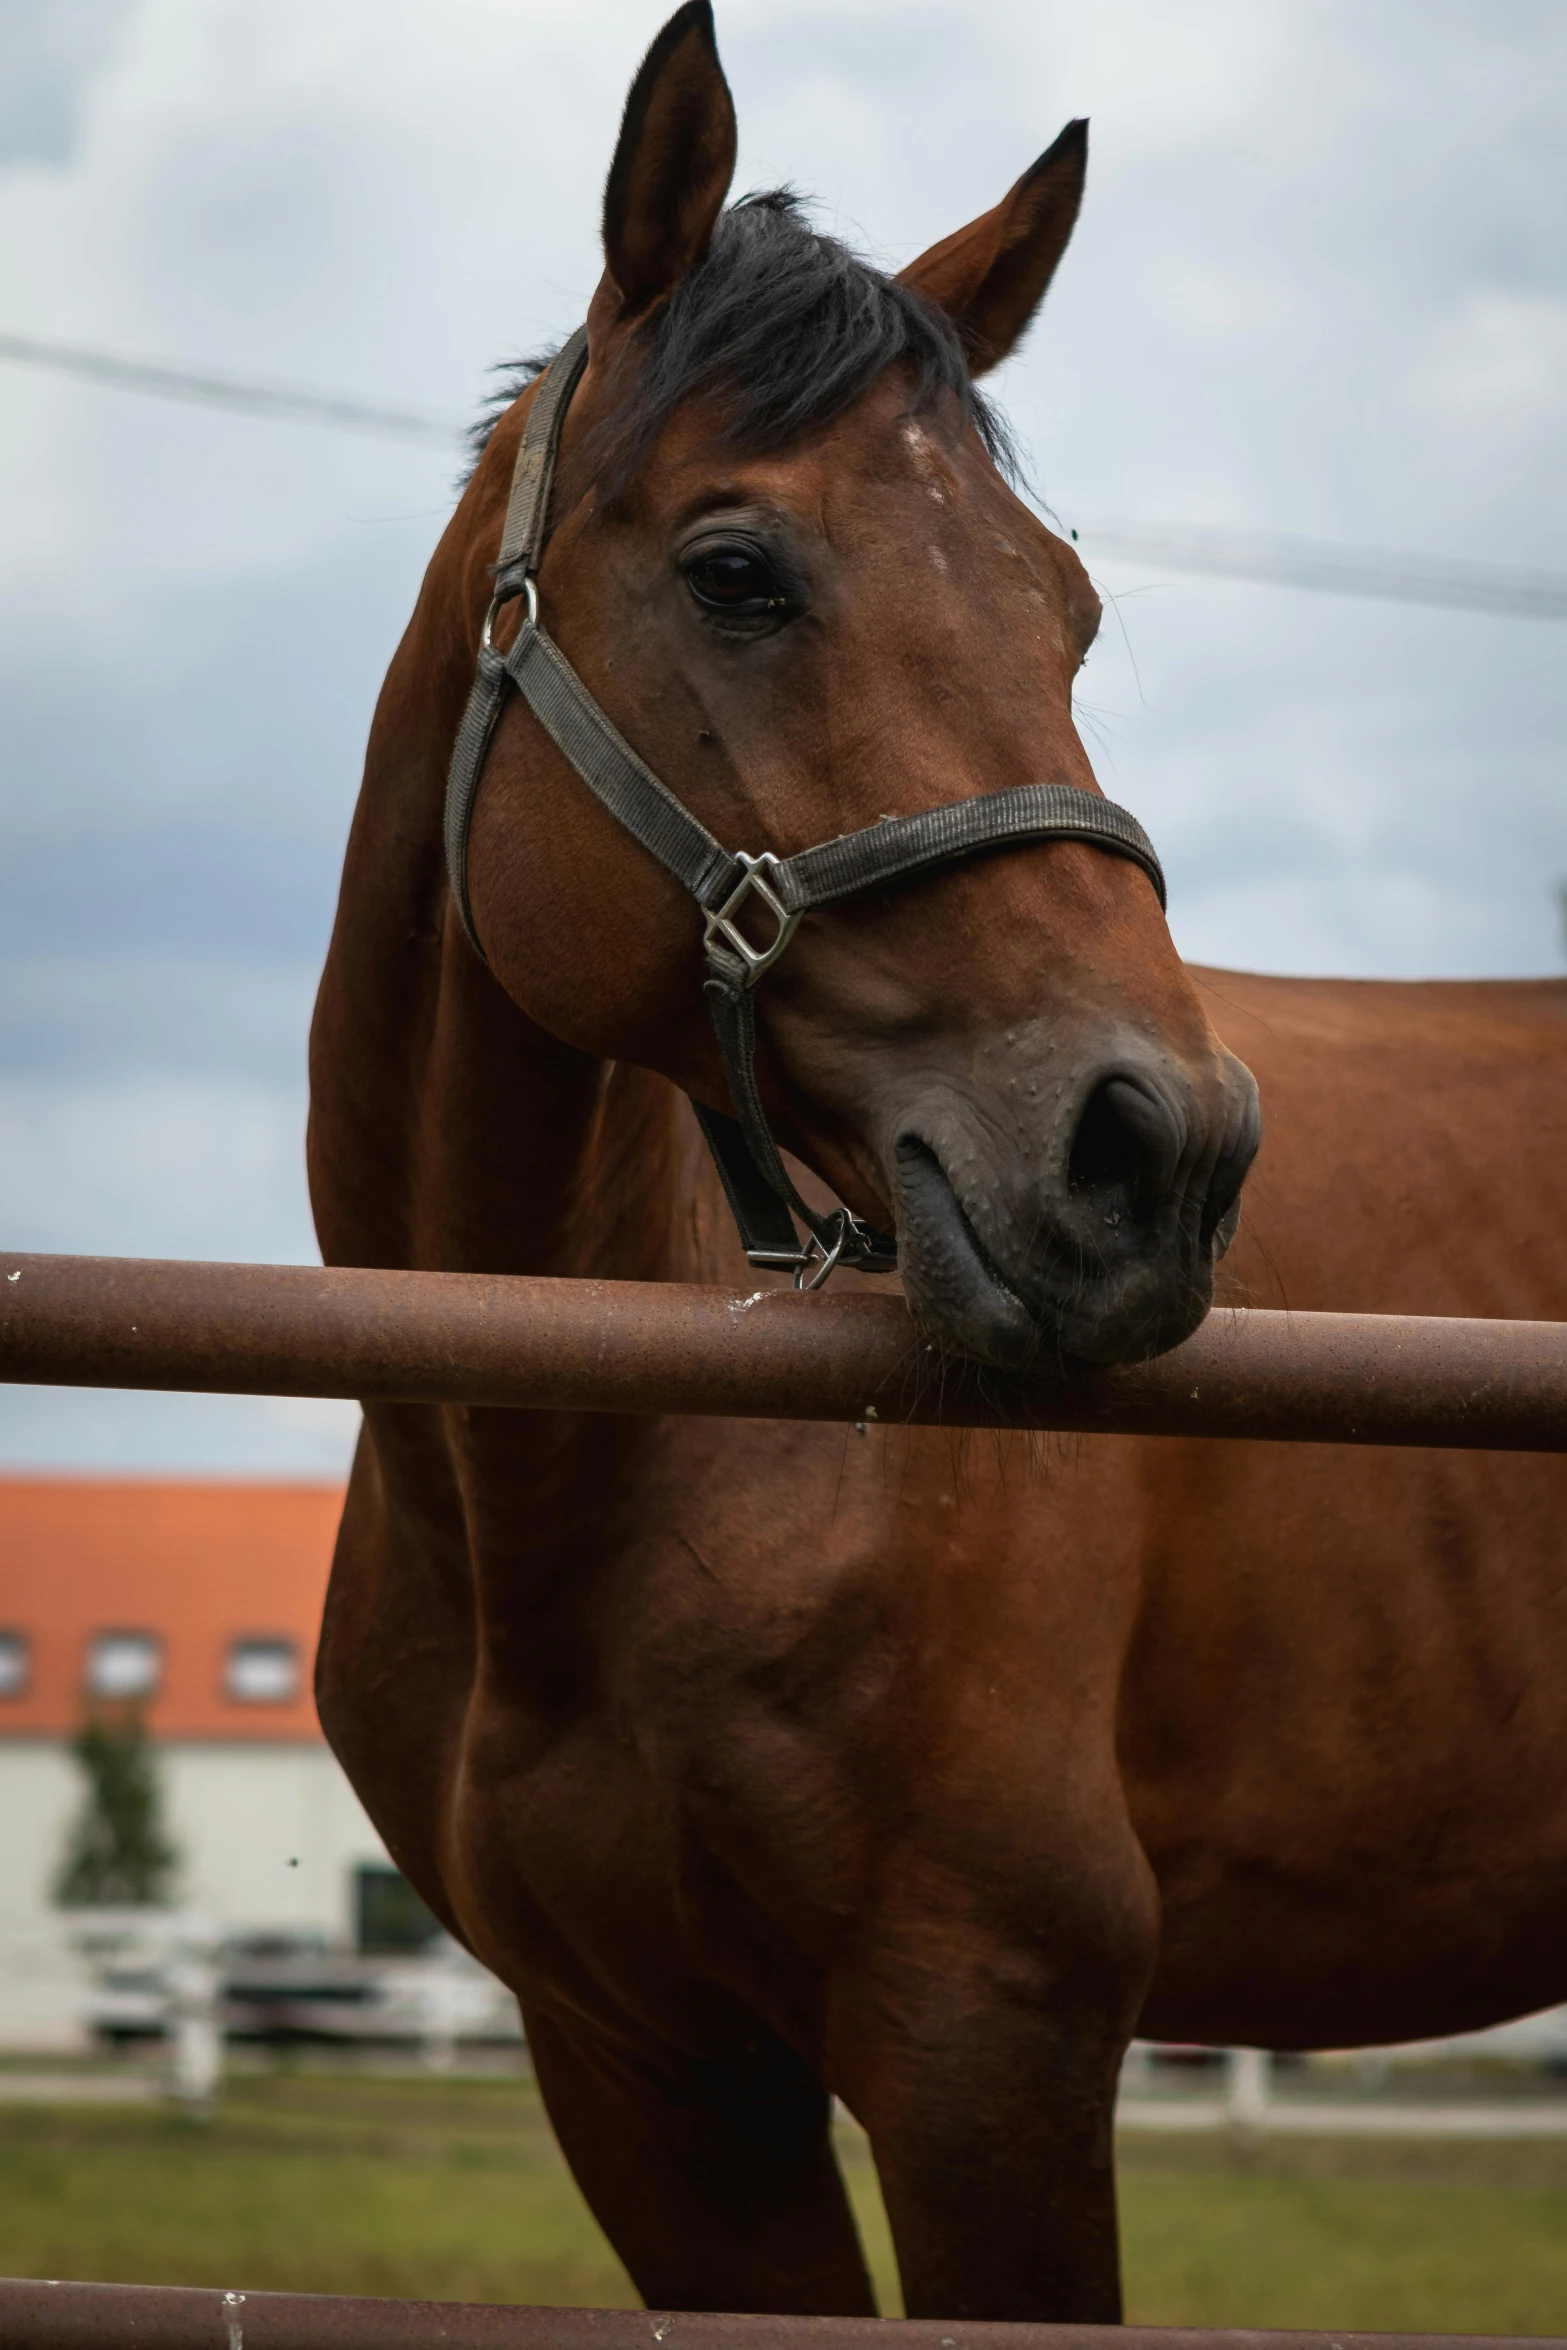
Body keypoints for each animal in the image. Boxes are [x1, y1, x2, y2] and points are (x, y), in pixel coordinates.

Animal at [312, 0, 1567, 2312]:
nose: (1162, 1153)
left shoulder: (988, 2029)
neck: (576, 1474)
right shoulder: (647, 2078)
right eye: (736, 569)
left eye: (1062, 612)